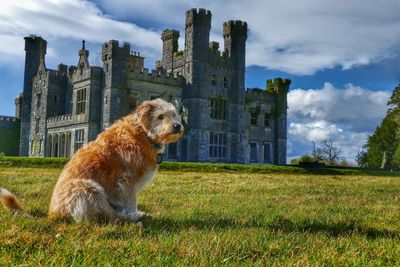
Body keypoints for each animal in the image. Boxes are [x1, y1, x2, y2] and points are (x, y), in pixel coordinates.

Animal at [0, 99, 184, 223]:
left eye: (175, 115)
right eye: (161, 116)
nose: (177, 126)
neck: (143, 133)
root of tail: (52, 214)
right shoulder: (127, 180)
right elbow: (130, 202)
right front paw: (134, 213)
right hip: (88, 189)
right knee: (108, 216)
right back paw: (133, 218)